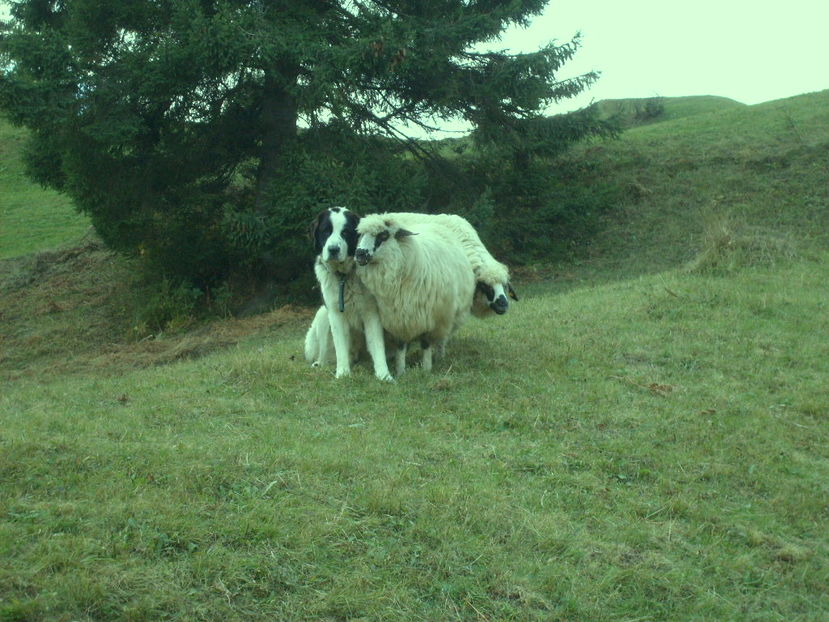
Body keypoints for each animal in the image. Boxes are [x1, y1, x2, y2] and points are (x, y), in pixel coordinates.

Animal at [306, 207, 392, 382]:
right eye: (326, 231)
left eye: (345, 233)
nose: (333, 249)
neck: (344, 277)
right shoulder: (335, 314)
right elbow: (340, 346)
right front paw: (343, 373)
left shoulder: (371, 313)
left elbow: (377, 344)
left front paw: (384, 374)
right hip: (322, 316)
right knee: (324, 352)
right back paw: (320, 364)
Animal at [354, 214, 472, 376]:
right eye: (361, 234)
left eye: (383, 235)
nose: (359, 253)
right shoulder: (396, 318)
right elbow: (401, 345)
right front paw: (400, 370)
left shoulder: (430, 318)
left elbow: (426, 343)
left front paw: (426, 369)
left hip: (447, 315)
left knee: (442, 339)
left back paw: (440, 357)